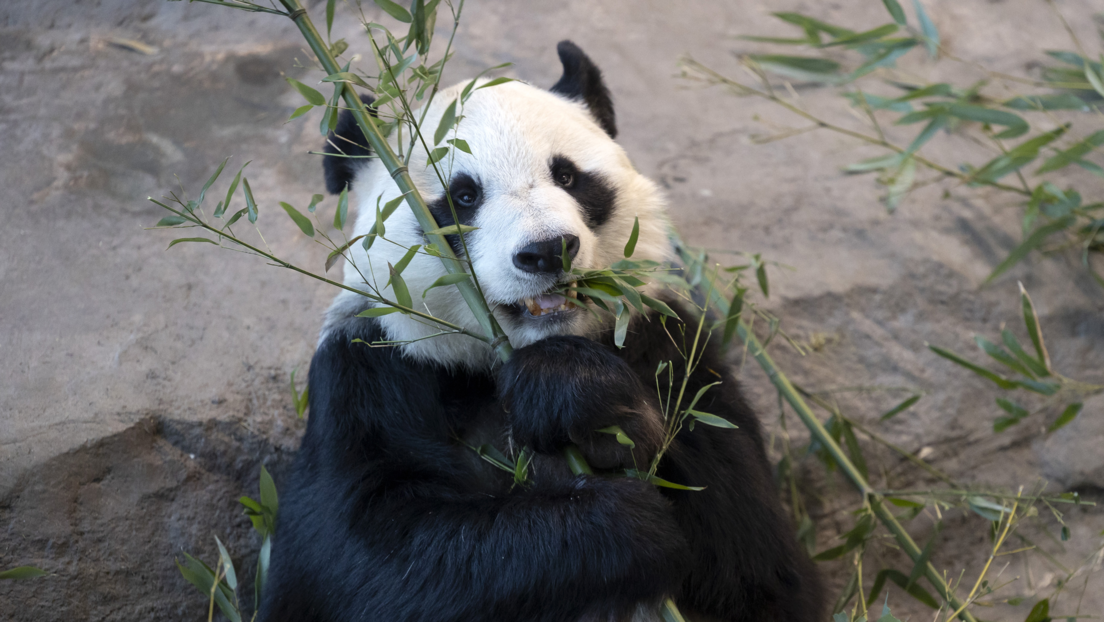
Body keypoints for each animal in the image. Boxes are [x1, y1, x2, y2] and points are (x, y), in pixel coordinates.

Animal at [259, 41, 823, 622]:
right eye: (463, 197)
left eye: (569, 177)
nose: (548, 250)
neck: (516, 351)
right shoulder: (371, 369)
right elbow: (361, 556)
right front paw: (615, 527)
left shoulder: (664, 340)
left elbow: (760, 561)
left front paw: (579, 395)